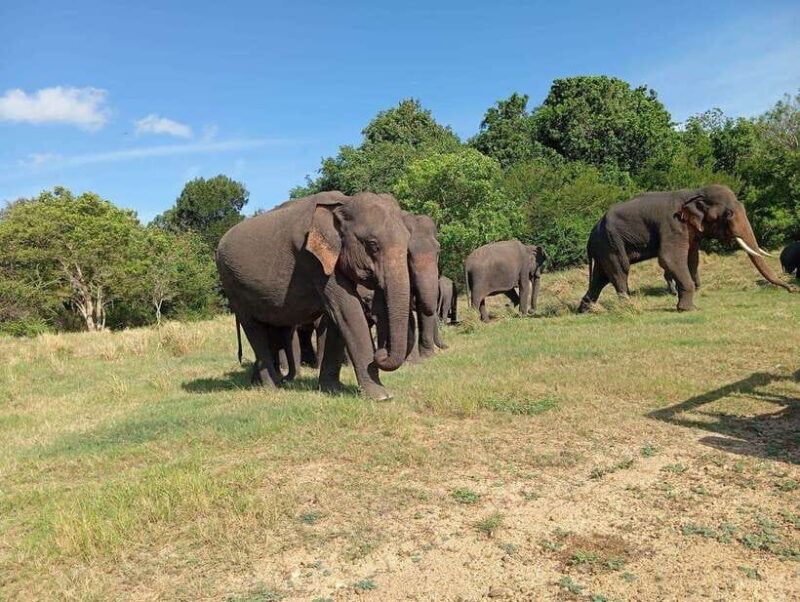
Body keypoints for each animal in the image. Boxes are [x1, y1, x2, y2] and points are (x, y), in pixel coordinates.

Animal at [216, 191, 411, 400]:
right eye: (373, 245)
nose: (381, 353)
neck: (343, 203)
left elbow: (337, 317)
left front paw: (333, 389)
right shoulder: (312, 260)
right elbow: (348, 309)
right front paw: (382, 396)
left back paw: (262, 383)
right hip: (232, 283)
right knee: (253, 328)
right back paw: (273, 386)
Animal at [578, 185, 791, 313]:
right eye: (728, 215)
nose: (791, 289)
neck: (695, 192)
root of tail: (591, 234)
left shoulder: (690, 231)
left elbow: (692, 258)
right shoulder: (673, 226)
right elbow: (669, 258)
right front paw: (689, 309)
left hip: (604, 246)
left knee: (601, 277)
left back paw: (585, 311)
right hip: (611, 242)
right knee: (620, 271)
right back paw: (629, 308)